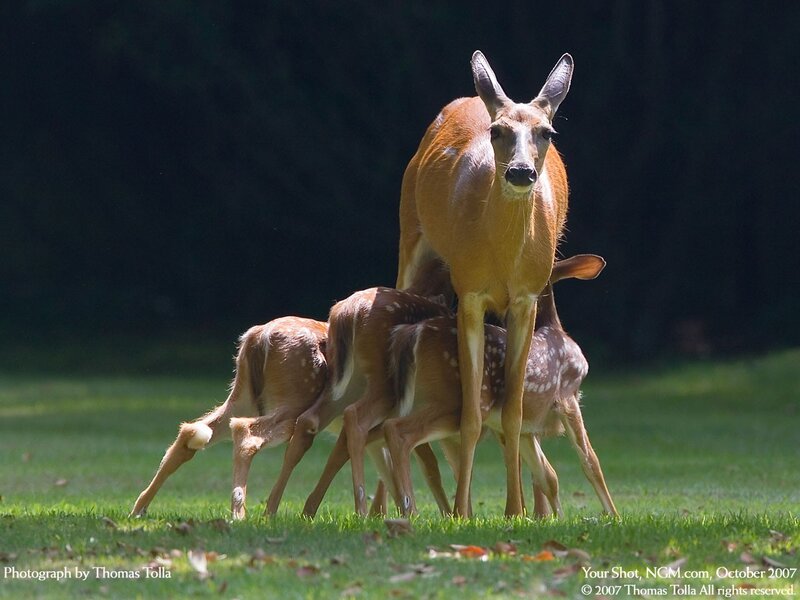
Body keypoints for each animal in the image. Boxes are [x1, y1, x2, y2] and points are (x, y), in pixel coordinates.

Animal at [130, 317, 330, 518]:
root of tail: (260, 335)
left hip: (243, 397)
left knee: (192, 429)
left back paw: (138, 509)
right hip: (296, 397)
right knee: (247, 432)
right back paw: (240, 515)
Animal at [383, 255, 618, 519]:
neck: (556, 329)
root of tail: (412, 333)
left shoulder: (526, 428)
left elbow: (547, 475)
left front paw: (558, 518)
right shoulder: (568, 395)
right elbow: (591, 462)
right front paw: (614, 516)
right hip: (451, 403)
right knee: (398, 430)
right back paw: (410, 510)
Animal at [396, 50, 574, 517]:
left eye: (547, 132)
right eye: (497, 131)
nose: (520, 172)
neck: (502, 259)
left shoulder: (527, 298)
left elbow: (512, 412)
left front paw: (516, 510)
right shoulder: (470, 293)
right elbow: (471, 415)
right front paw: (462, 510)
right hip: (410, 237)